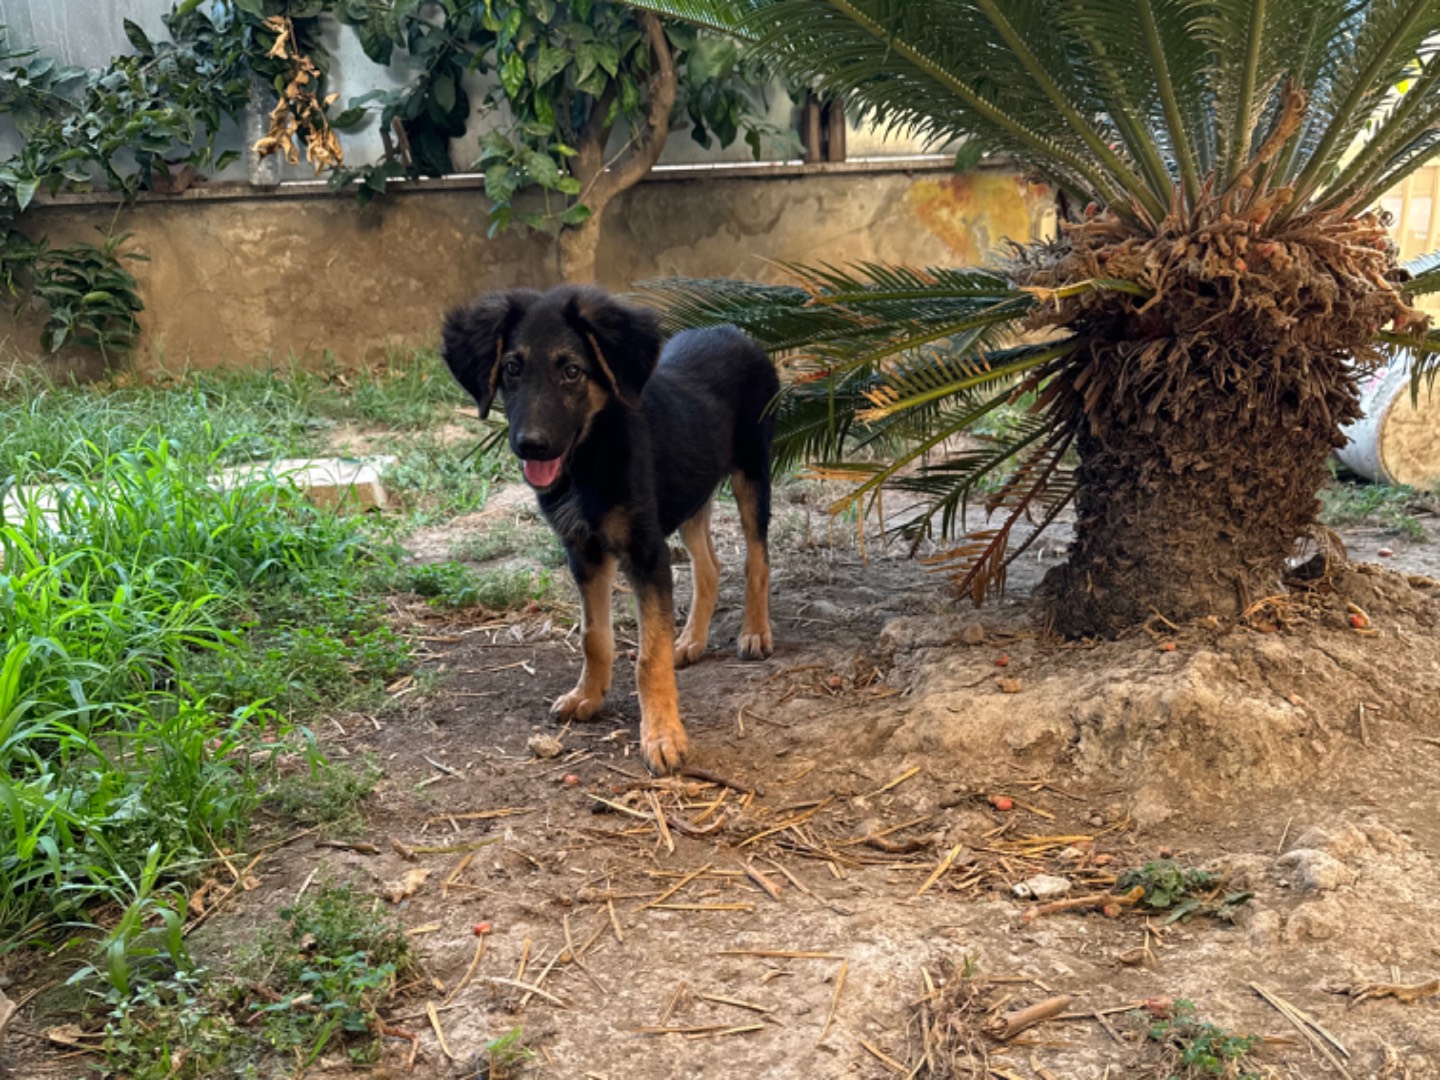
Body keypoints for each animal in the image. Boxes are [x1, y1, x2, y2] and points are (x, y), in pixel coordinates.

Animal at [443, 288, 783, 771]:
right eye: (511, 368)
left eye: (572, 371)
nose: (531, 445)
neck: (589, 457)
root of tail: (731, 329)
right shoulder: (583, 550)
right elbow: (594, 636)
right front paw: (588, 696)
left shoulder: (645, 552)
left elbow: (649, 655)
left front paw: (662, 735)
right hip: (691, 491)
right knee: (709, 566)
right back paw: (690, 640)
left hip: (752, 471)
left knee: (757, 558)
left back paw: (754, 631)